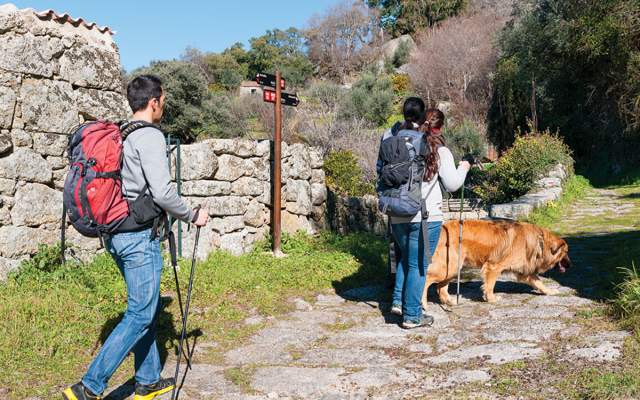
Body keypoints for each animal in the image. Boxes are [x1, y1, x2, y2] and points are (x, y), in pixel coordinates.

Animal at [422, 219, 572, 306]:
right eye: (566, 252)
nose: (571, 265)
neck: (540, 243)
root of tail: (442, 228)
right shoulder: (494, 267)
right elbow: (490, 285)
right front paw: (491, 299)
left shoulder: (524, 272)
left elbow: (539, 283)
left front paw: (550, 291)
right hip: (449, 267)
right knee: (427, 280)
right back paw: (423, 304)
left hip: (453, 268)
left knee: (440, 286)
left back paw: (449, 301)